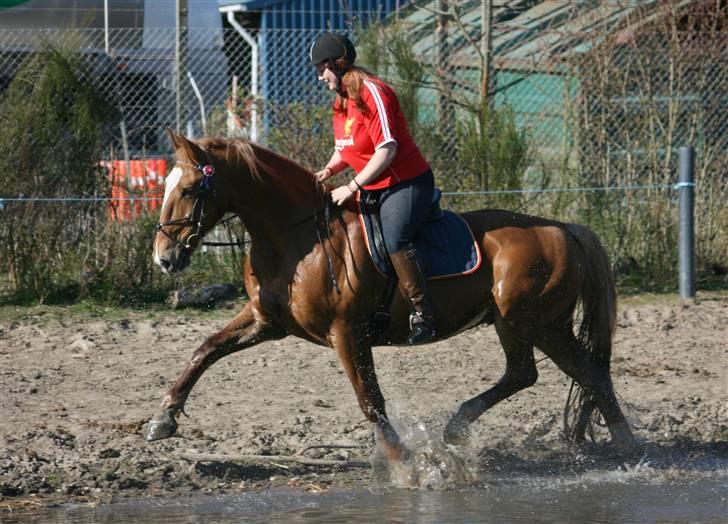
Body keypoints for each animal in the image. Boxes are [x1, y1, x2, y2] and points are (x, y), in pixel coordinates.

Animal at [148, 130, 636, 462]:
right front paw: (163, 418)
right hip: (532, 324)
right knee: (552, 374)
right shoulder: (266, 322)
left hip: (530, 321)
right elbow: (205, 350)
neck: (294, 236)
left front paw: (403, 462)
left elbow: (370, 399)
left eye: (189, 189)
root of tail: (563, 229)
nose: (164, 257)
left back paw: (625, 446)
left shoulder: (347, 332)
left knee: (570, 374)